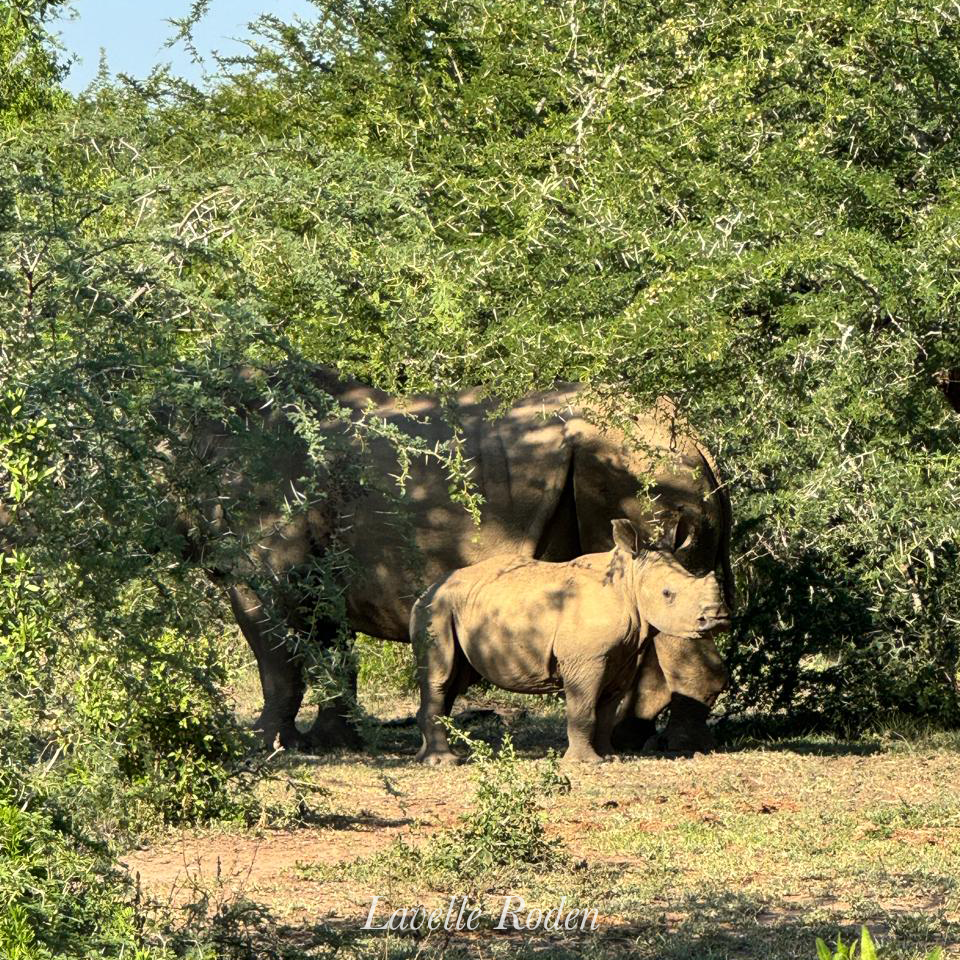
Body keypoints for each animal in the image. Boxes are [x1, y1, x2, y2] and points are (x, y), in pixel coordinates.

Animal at [411, 518, 732, 763]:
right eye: (667, 594)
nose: (718, 618)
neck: (628, 582)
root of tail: (429, 588)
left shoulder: (623, 656)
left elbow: (606, 710)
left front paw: (610, 756)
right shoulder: (585, 658)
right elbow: (584, 708)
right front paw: (585, 763)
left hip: (451, 607)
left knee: (456, 680)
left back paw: (425, 757)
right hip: (435, 609)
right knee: (441, 677)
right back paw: (443, 762)